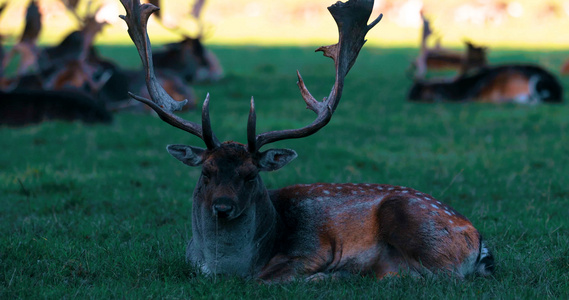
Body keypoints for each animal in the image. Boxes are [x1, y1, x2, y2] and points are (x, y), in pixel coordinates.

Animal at [118, 0, 492, 282]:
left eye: (251, 175)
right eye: (206, 172)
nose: (222, 207)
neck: (226, 268)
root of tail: (479, 241)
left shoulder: (313, 249)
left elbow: (267, 278)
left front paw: (327, 275)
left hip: (410, 219)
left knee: (439, 276)